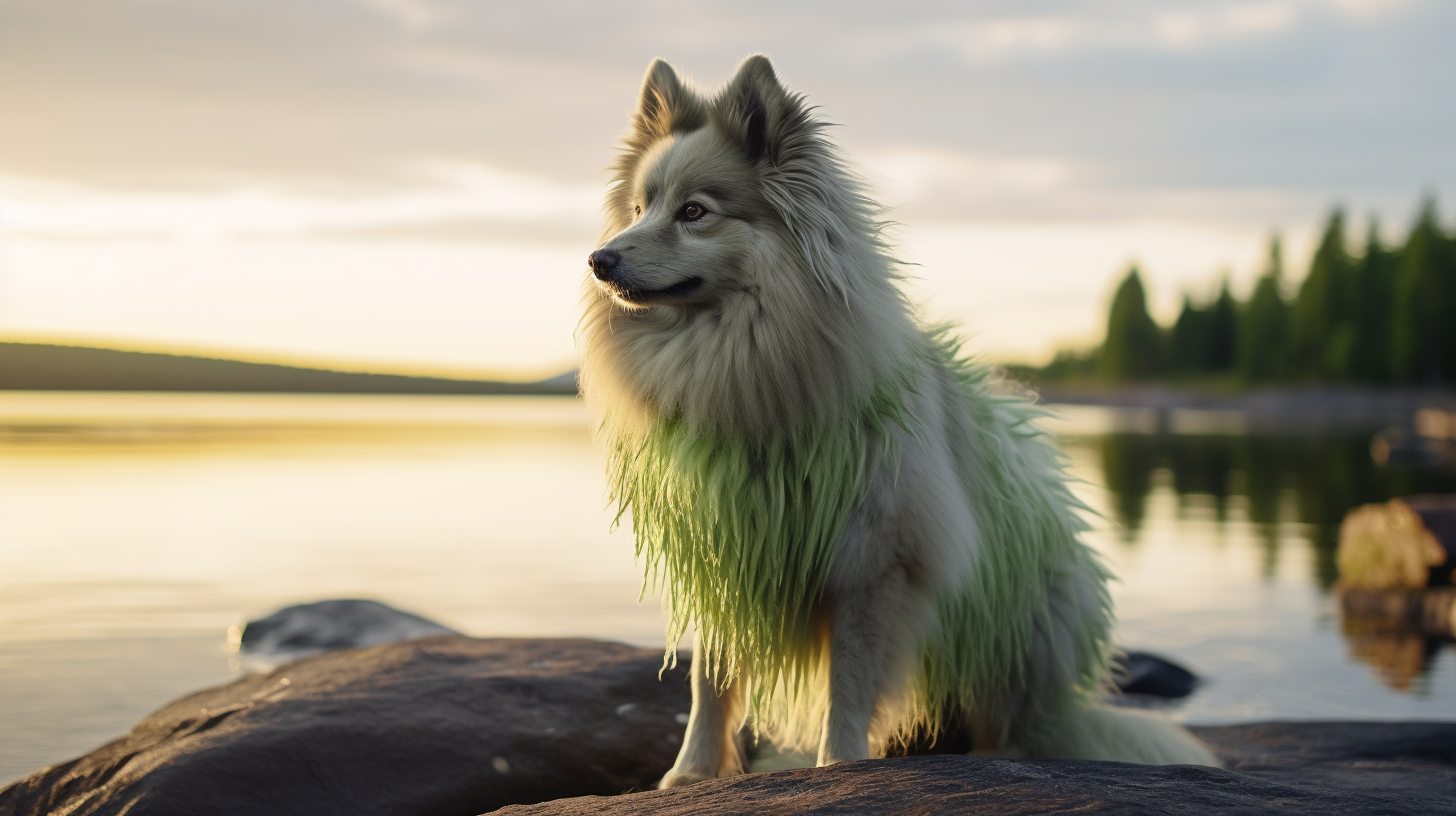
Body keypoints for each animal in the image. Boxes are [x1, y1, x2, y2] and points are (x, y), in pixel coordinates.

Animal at [573, 54, 1211, 786]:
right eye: (640, 209)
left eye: (694, 213)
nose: (600, 260)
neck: (746, 365)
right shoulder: (728, 548)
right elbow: (712, 680)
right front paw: (693, 774)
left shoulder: (875, 560)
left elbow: (850, 684)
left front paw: (837, 764)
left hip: (1019, 629)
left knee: (1017, 726)